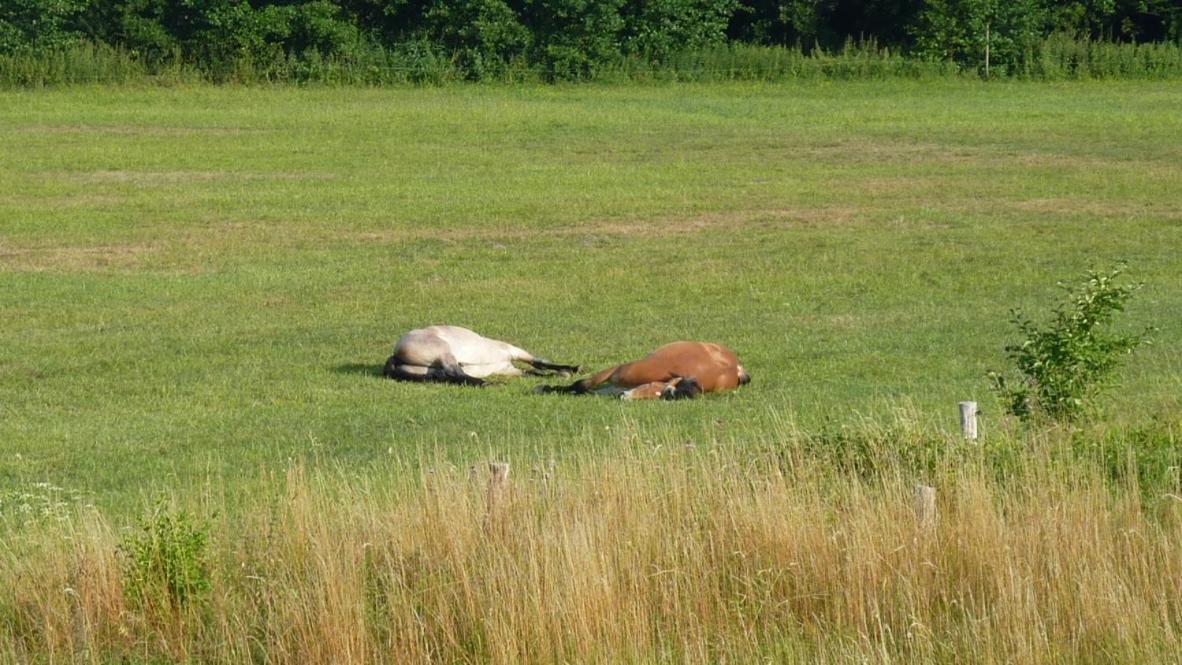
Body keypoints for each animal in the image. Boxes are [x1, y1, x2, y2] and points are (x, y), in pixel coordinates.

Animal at [380, 326, 579, 387]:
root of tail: (395, 353)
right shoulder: (512, 351)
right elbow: (539, 363)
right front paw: (571, 369)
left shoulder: (509, 369)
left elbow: (533, 371)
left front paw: (561, 373)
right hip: (444, 352)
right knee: (455, 373)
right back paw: (490, 384)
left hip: (432, 371)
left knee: (452, 376)